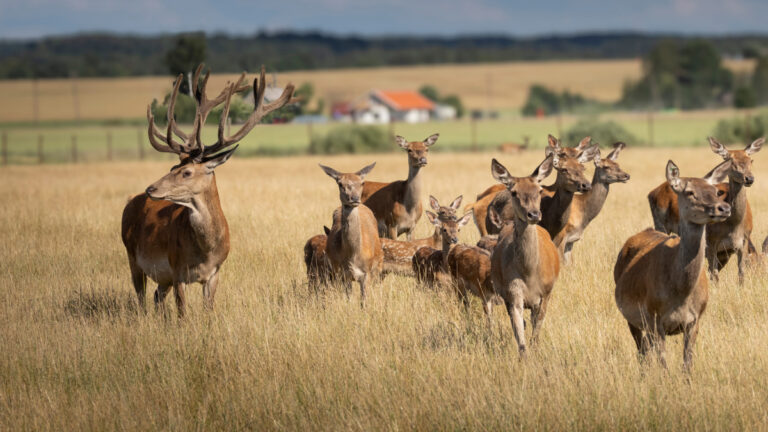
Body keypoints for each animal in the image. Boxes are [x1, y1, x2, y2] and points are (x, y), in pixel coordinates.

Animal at [121, 65, 294, 317]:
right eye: (172, 167)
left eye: (186, 172)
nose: (151, 188)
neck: (205, 251)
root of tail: (130, 201)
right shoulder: (177, 269)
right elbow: (182, 314)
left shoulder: (214, 273)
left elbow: (208, 311)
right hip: (133, 256)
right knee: (141, 297)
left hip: (162, 277)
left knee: (155, 297)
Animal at [319, 163, 383, 306]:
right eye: (340, 183)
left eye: (362, 182)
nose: (354, 198)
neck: (352, 256)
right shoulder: (343, 274)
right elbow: (349, 298)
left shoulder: (366, 273)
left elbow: (363, 302)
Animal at [489, 156, 560, 356]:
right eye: (514, 192)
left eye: (540, 189)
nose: (533, 214)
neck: (530, 274)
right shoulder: (513, 293)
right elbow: (520, 336)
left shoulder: (546, 292)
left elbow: (536, 333)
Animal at [615, 161, 731, 371]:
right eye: (690, 192)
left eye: (715, 191)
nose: (724, 208)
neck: (680, 292)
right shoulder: (655, 319)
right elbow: (663, 364)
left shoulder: (695, 320)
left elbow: (687, 363)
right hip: (630, 317)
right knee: (641, 352)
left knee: (645, 350)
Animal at [647, 137, 763, 283]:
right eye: (730, 160)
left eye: (750, 160)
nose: (749, 178)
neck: (734, 227)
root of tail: (652, 192)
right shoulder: (712, 243)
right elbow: (714, 276)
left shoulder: (742, 243)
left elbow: (741, 275)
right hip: (660, 224)